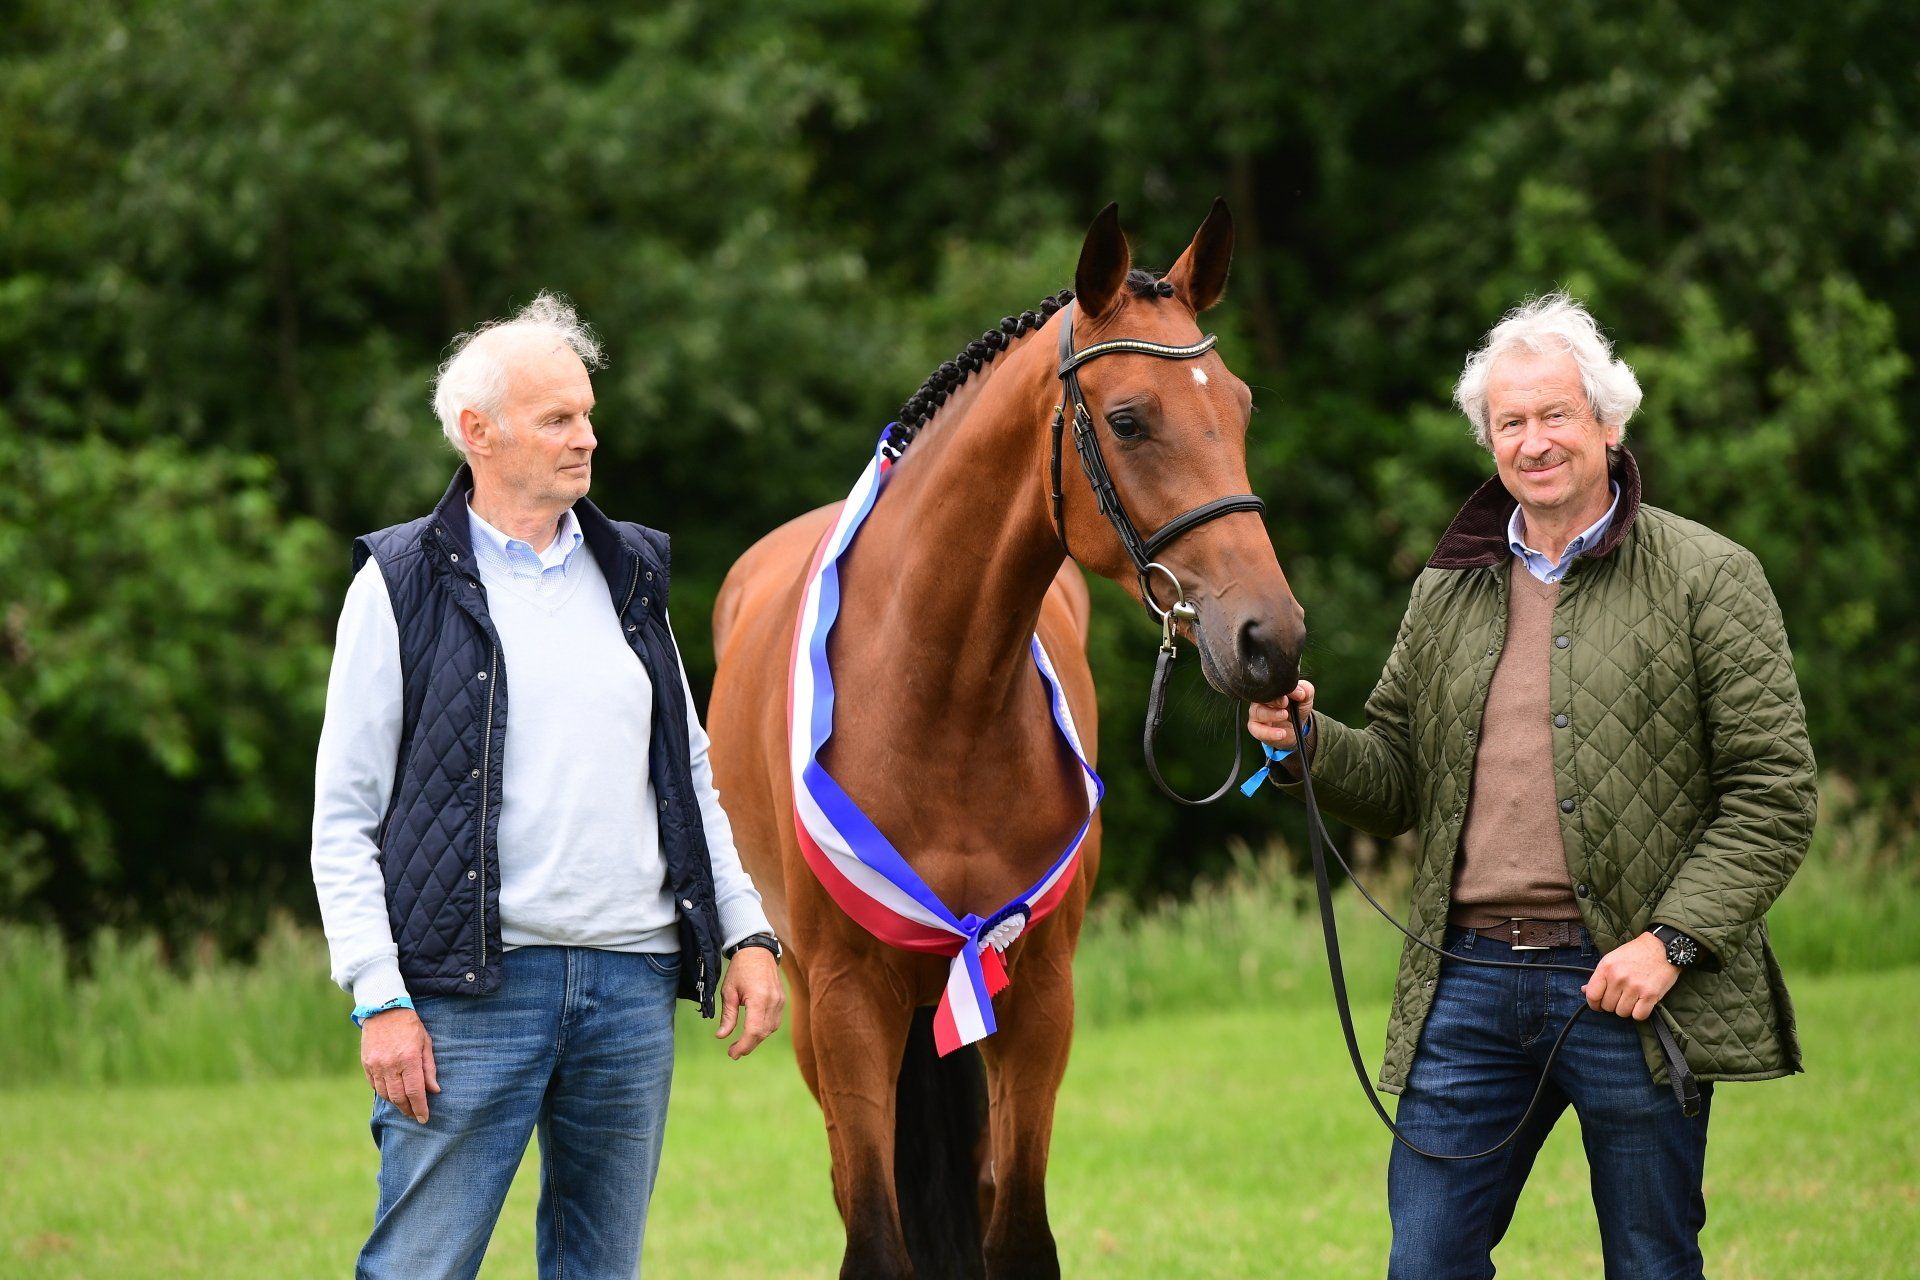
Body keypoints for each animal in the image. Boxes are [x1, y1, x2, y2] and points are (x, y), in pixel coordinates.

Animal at [707, 200, 1305, 1279]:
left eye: (1238, 407)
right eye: (1128, 419)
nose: (1268, 638)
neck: (939, 704)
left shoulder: (1038, 997)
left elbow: (1016, 1230)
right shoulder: (848, 1003)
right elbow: (876, 1236)